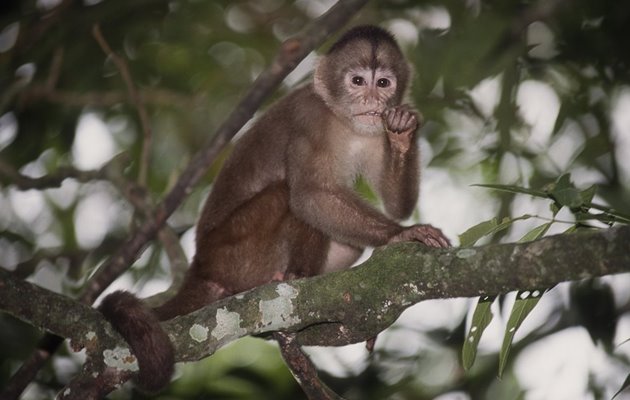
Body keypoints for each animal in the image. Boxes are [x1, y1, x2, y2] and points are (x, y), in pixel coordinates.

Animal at [99, 25, 452, 394]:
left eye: (383, 83)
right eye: (357, 81)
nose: (372, 101)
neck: (340, 118)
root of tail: (199, 266)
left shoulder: (373, 130)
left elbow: (397, 205)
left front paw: (403, 128)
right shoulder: (309, 117)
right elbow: (308, 197)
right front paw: (402, 235)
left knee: (345, 240)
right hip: (233, 253)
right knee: (288, 194)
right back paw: (295, 277)